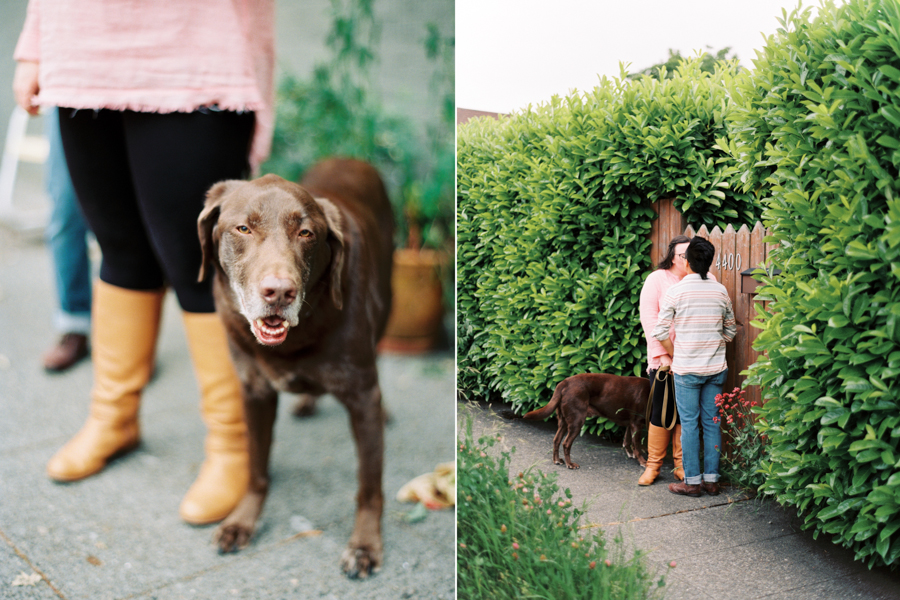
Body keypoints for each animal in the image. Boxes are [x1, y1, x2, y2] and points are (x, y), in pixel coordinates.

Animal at [195, 158, 392, 576]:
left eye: (306, 233)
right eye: (243, 228)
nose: (279, 292)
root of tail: (351, 159)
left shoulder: (362, 395)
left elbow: (369, 484)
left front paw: (365, 544)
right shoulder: (254, 390)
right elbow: (256, 467)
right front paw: (242, 521)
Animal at [524, 376, 652, 468]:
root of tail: (564, 383)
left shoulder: (631, 424)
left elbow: (627, 440)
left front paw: (631, 454)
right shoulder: (636, 423)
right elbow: (637, 445)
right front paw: (643, 461)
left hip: (564, 421)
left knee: (556, 440)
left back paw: (557, 460)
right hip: (577, 421)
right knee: (566, 443)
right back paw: (570, 464)